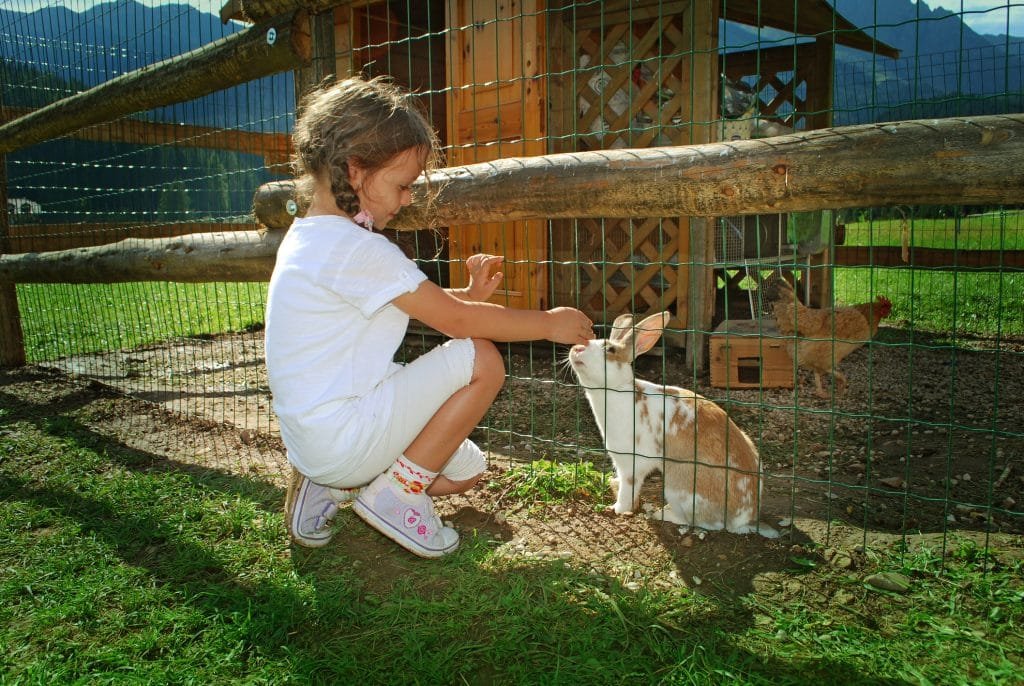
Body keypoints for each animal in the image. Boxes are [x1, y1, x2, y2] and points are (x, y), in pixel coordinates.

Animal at [569, 309, 774, 540]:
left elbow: (628, 488)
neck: (617, 390)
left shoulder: (631, 463)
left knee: (702, 522)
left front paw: (618, 509)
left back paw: (661, 513)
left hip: (678, 488)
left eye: (610, 349)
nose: (575, 349)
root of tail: (744, 519)